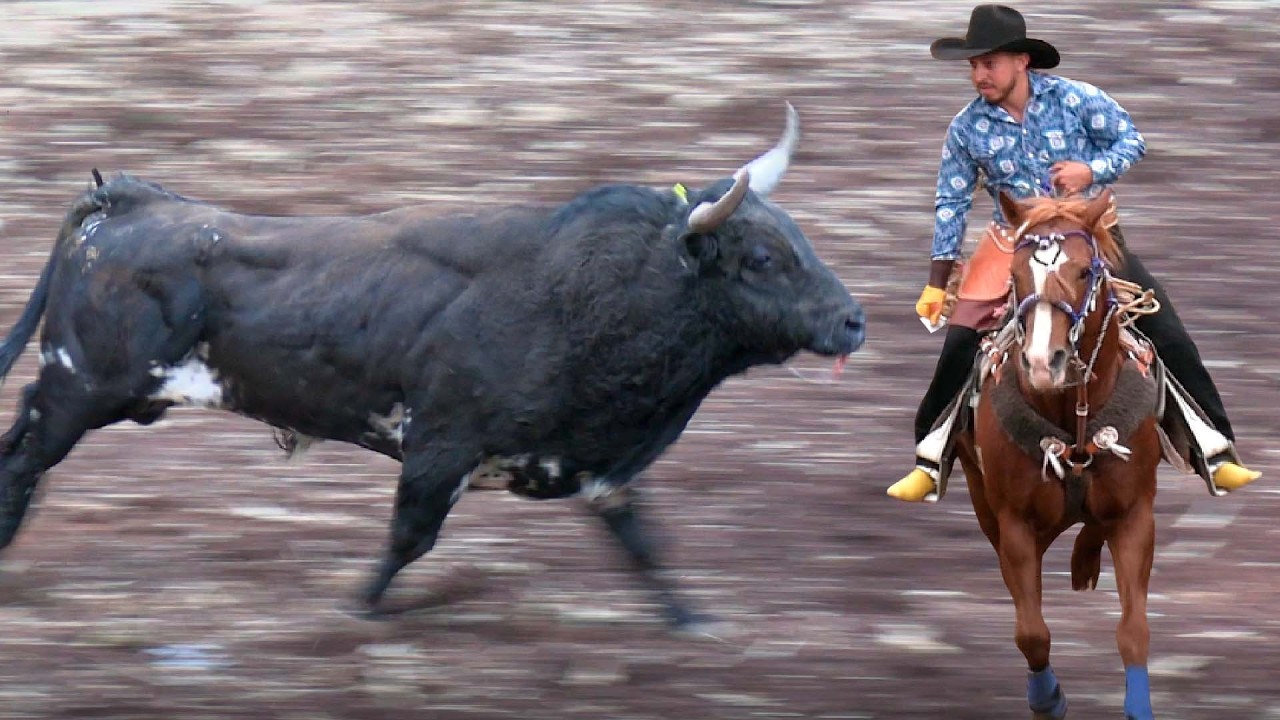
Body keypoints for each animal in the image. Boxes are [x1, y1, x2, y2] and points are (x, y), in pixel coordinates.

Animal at [955, 189, 1163, 720]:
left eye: (1085, 271)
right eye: (1013, 275)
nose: (1041, 362)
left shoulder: (1135, 512)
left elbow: (1134, 630)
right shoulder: (1013, 522)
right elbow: (1032, 632)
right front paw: (1048, 699)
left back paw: (1084, 559)